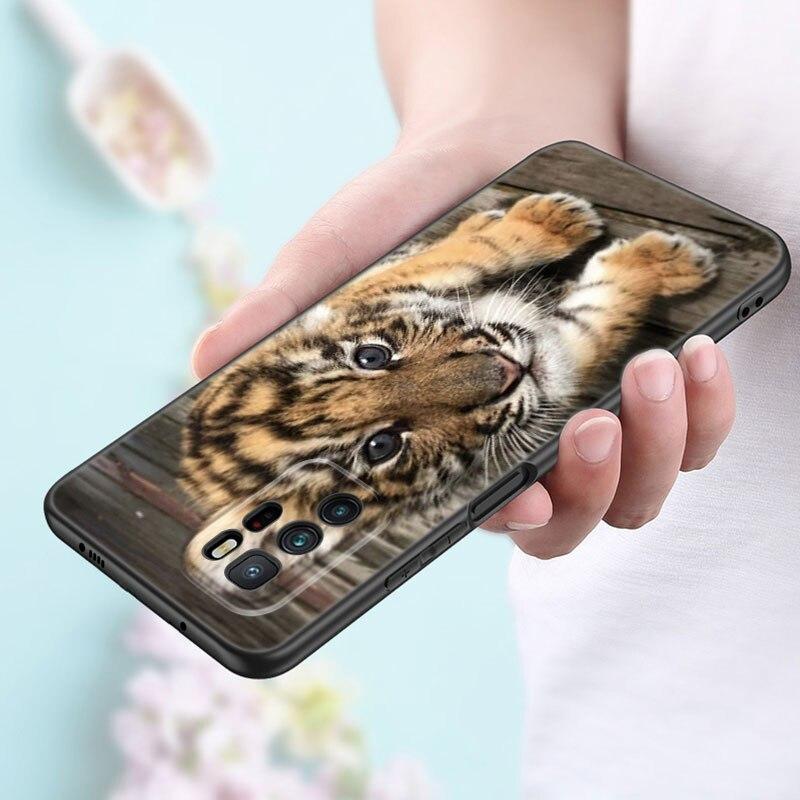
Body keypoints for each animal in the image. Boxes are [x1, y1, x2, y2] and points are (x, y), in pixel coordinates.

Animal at [180, 192, 716, 567]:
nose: (508, 372)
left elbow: (474, 252)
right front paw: (675, 264)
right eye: (381, 446)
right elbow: (594, 319)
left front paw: (568, 226)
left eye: (372, 356)